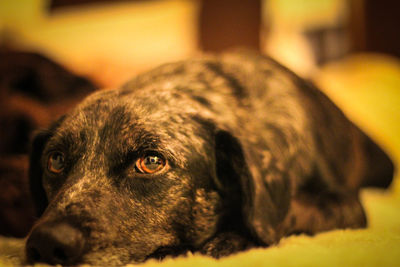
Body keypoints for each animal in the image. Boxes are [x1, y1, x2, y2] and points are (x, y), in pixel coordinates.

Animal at [25, 50, 394, 266]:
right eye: (56, 160)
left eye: (151, 162)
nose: (48, 244)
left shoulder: (345, 205)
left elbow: (284, 214)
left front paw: (229, 239)